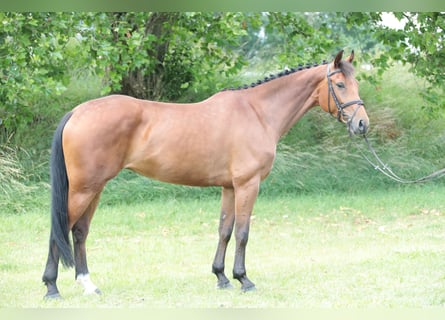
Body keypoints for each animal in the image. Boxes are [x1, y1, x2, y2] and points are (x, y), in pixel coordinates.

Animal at [41, 48, 368, 298]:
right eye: (340, 85)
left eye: (356, 83)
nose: (362, 124)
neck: (257, 112)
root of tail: (77, 112)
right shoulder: (248, 184)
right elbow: (243, 233)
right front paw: (244, 279)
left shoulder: (230, 187)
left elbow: (225, 230)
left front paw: (221, 277)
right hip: (83, 189)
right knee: (60, 229)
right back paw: (51, 287)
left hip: (94, 188)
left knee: (79, 232)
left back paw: (88, 285)